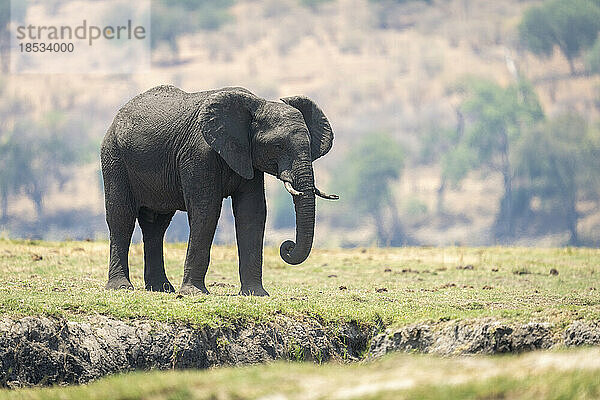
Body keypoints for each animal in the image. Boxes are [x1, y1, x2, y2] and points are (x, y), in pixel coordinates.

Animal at [101, 85, 340, 296]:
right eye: (278, 146)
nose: (287, 246)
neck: (254, 106)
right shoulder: (198, 155)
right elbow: (206, 210)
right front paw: (194, 293)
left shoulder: (248, 157)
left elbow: (252, 213)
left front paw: (256, 294)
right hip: (114, 158)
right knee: (121, 218)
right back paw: (121, 288)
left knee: (156, 225)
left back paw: (161, 289)